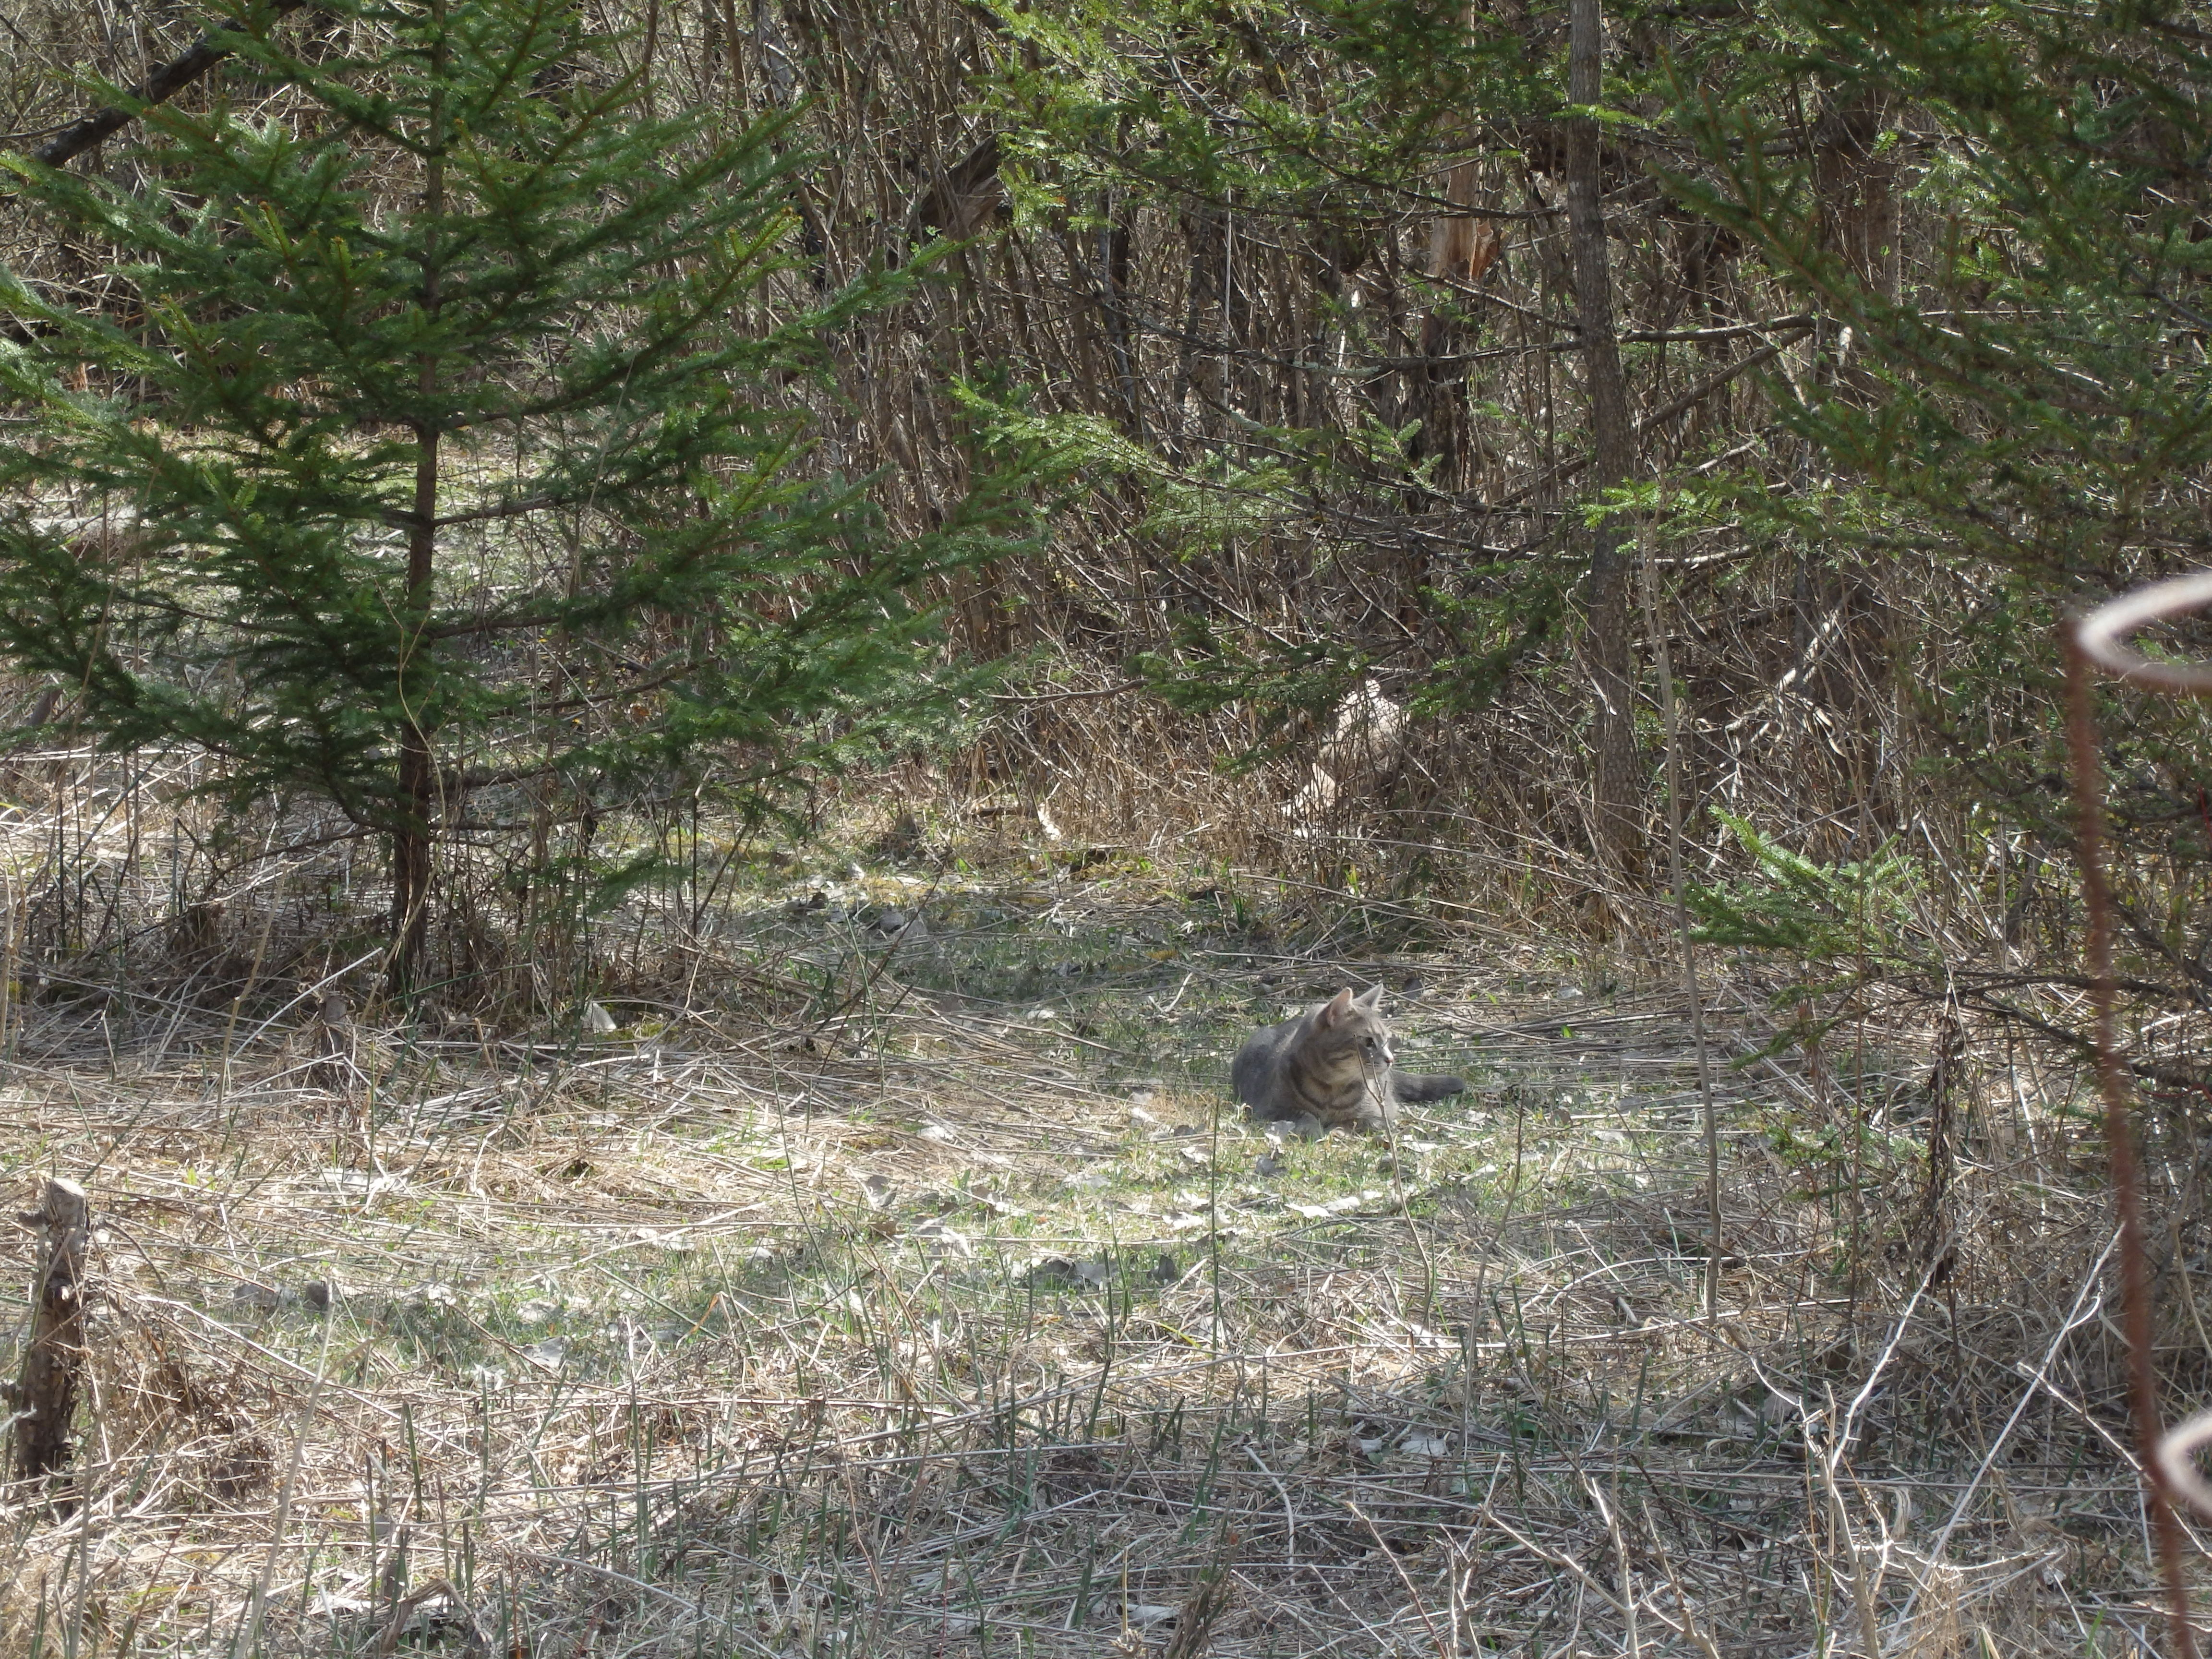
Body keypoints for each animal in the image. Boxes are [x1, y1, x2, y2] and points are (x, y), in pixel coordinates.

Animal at [1232, 984, 1465, 1136]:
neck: (1331, 1089)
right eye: (1369, 1042)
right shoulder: (1269, 1109)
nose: (1391, 1059)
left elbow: (1351, 1121)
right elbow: (1305, 1114)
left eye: (1387, 1040)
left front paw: (1336, 1131)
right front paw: (1313, 1127)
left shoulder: (1380, 1115)